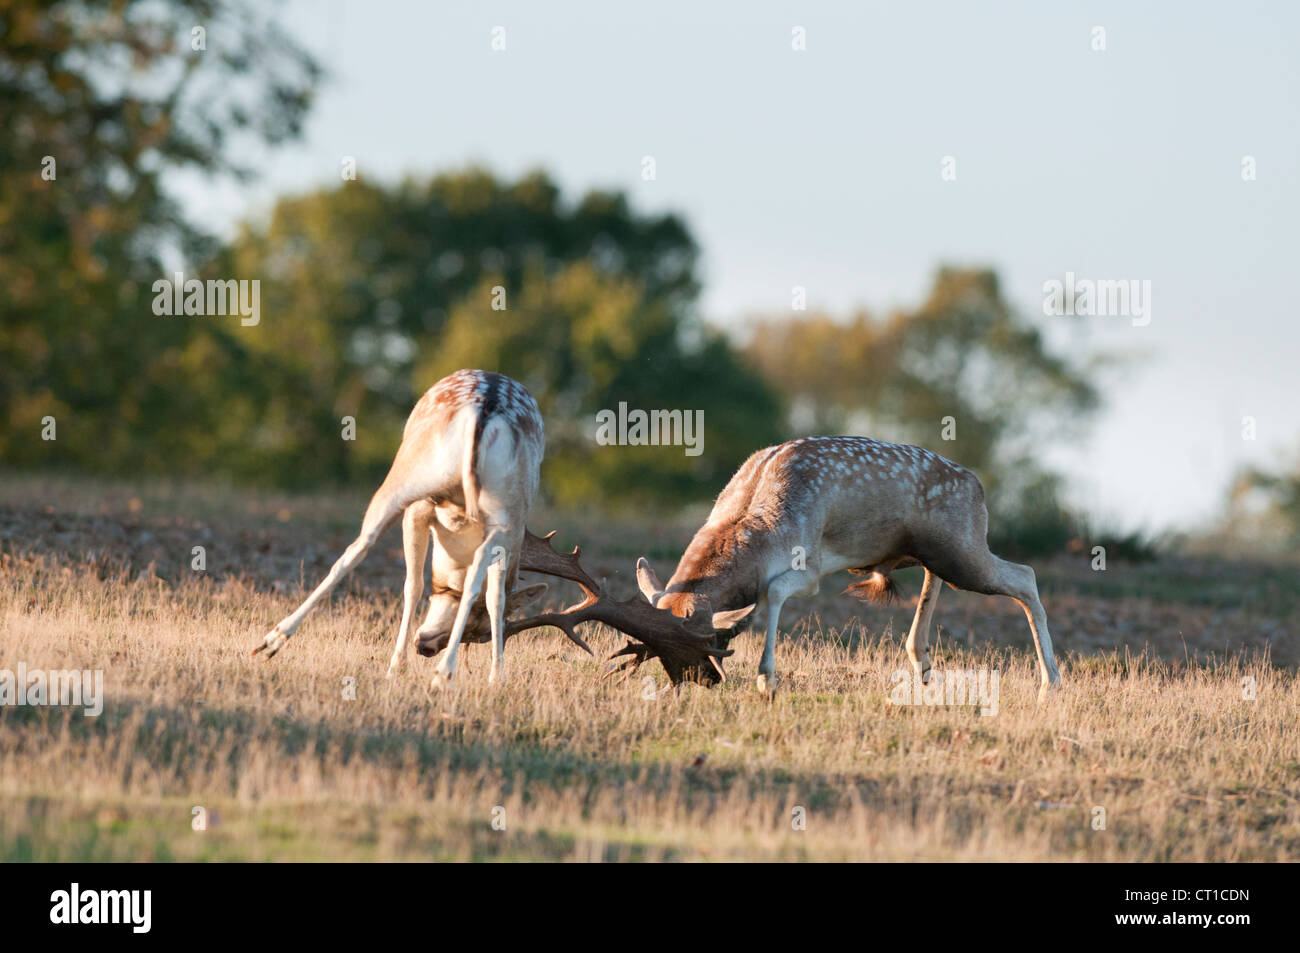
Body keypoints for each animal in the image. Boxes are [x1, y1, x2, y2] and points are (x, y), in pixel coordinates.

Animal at [253, 368, 739, 690]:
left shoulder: (428, 513)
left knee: (365, 546)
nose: (426, 646)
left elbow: (422, 584)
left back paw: (274, 642)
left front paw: (408, 667)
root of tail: (485, 407)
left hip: (417, 482)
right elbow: (432, 585)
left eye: (478, 631)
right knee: (386, 553)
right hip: (483, 505)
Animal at [633, 436, 1063, 698]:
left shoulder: (808, 568)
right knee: (939, 576)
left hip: (965, 550)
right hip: (941, 551)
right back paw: (922, 663)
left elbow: (772, 591)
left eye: (695, 643)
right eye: (655, 646)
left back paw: (1051, 684)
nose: (688, 682)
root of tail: (979, 487)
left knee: (1025, 575)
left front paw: (767, 680)